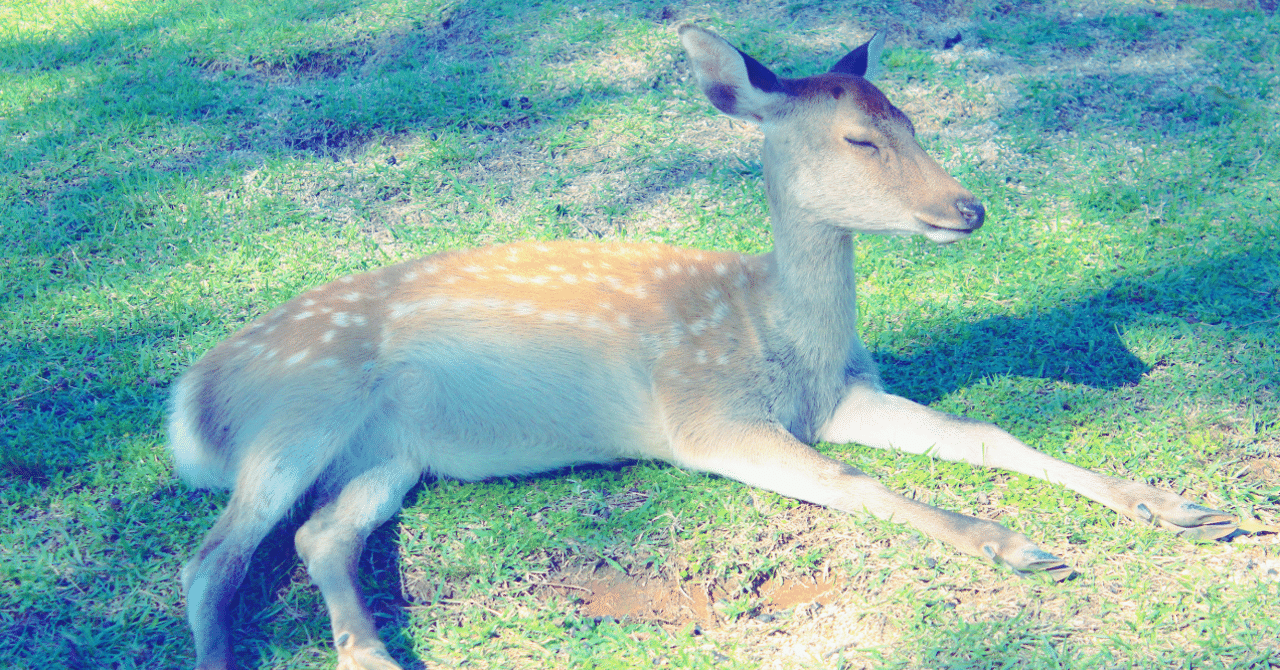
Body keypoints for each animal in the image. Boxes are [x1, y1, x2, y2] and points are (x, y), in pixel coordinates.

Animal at [168, 24, 1238, 670]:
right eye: (860, 140)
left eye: (910, 118)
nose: (967, 209)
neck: (781, 336)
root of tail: (194, 401)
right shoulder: (702, 417)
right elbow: (857, 485)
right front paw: (1015, 546)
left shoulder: (843, 396)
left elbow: (987, 435)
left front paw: (1182, 508)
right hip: (299, 412)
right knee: (214, 554)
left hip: (388, 455)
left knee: (317, 534)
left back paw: (373, 654)